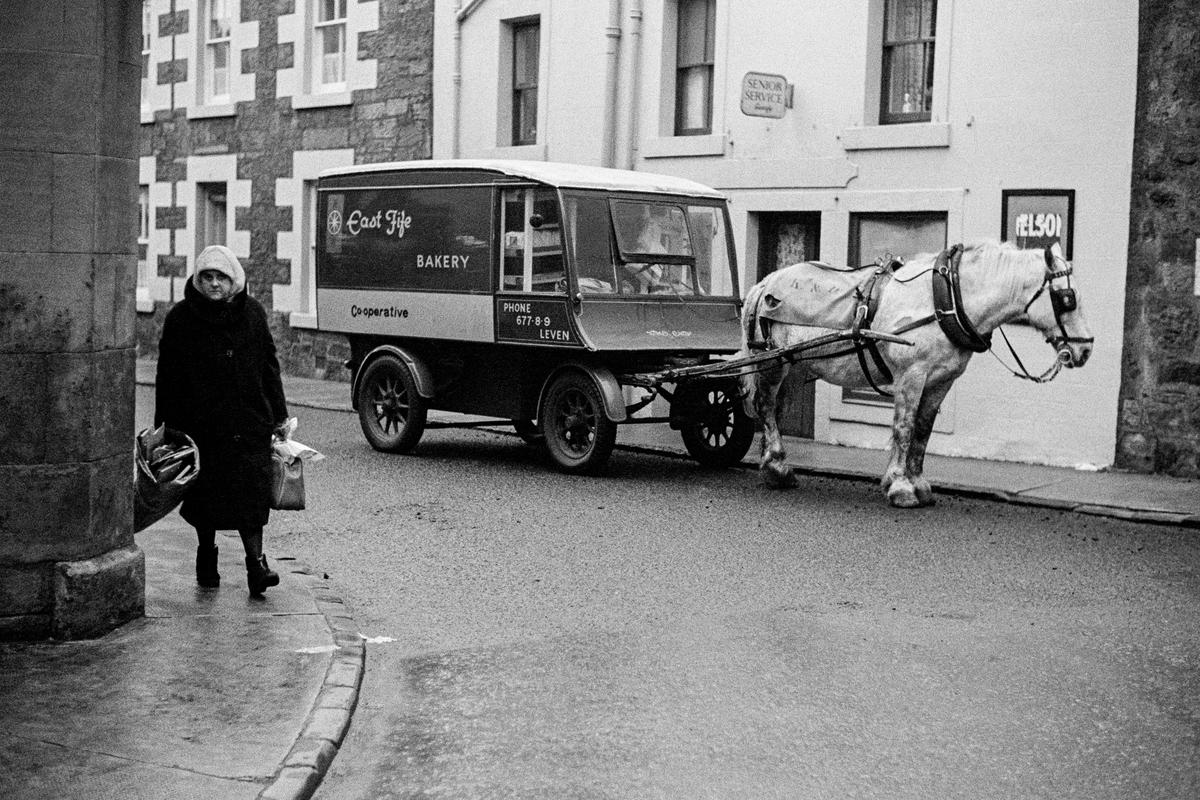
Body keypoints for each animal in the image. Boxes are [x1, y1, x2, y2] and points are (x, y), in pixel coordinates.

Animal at [734, 241, 1094, 510]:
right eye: (1068, 299)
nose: (1086, 349)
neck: (945, 300)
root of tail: (765, 283)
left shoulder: (940, 380)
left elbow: (923, 430)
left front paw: (919, 484)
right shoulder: (912, 374)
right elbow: (904, 428)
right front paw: (900, 486)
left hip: (795, 364)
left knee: (775, 410)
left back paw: (774, 466)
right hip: (774, 363)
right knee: (766, 406)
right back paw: (777, 466)